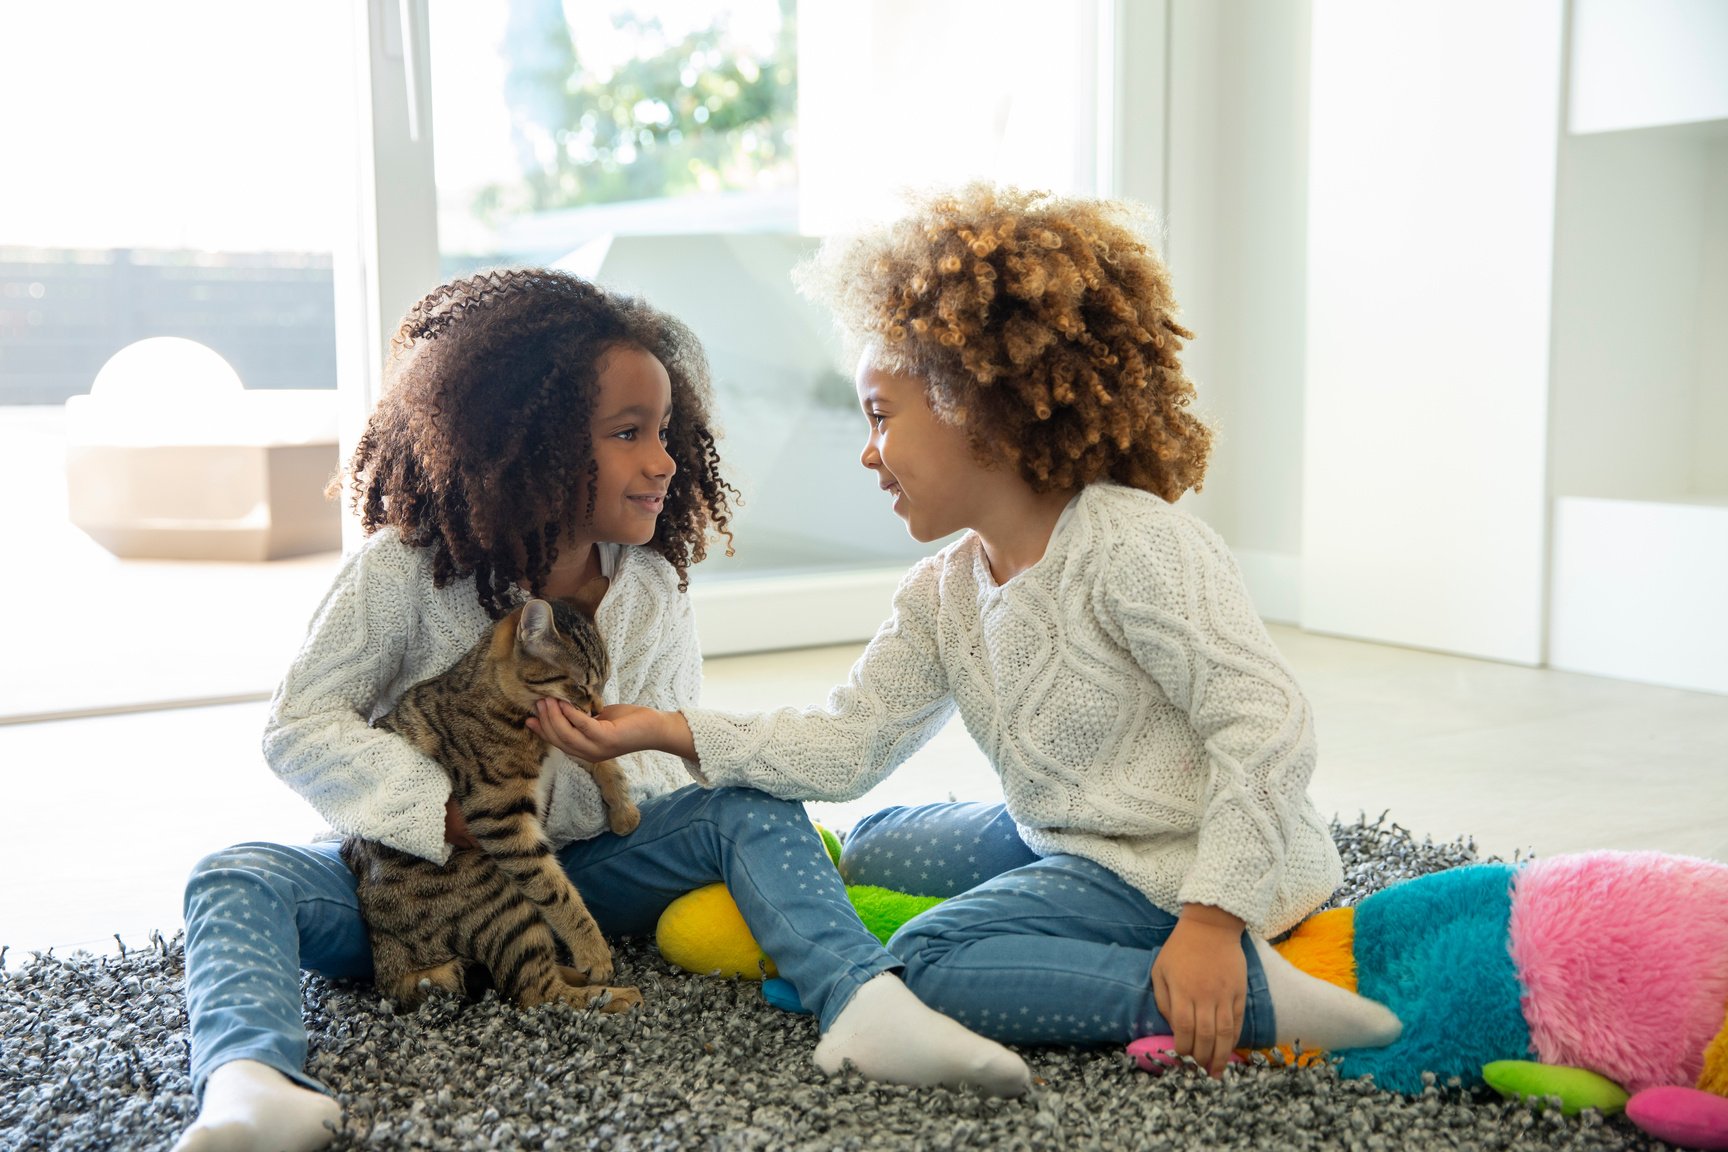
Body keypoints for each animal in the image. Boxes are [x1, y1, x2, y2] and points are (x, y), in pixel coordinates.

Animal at [336, 590, 642, 1015]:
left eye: (604, 683)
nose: (597, 710)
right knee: (533, 991)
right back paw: (612, 993)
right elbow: (556, 891)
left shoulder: (561, 742)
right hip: (502, 900)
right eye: (581, 686)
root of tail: (387, 962)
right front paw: (593, 951)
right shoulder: (500, 818)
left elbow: (602, 760)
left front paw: (624, 811)